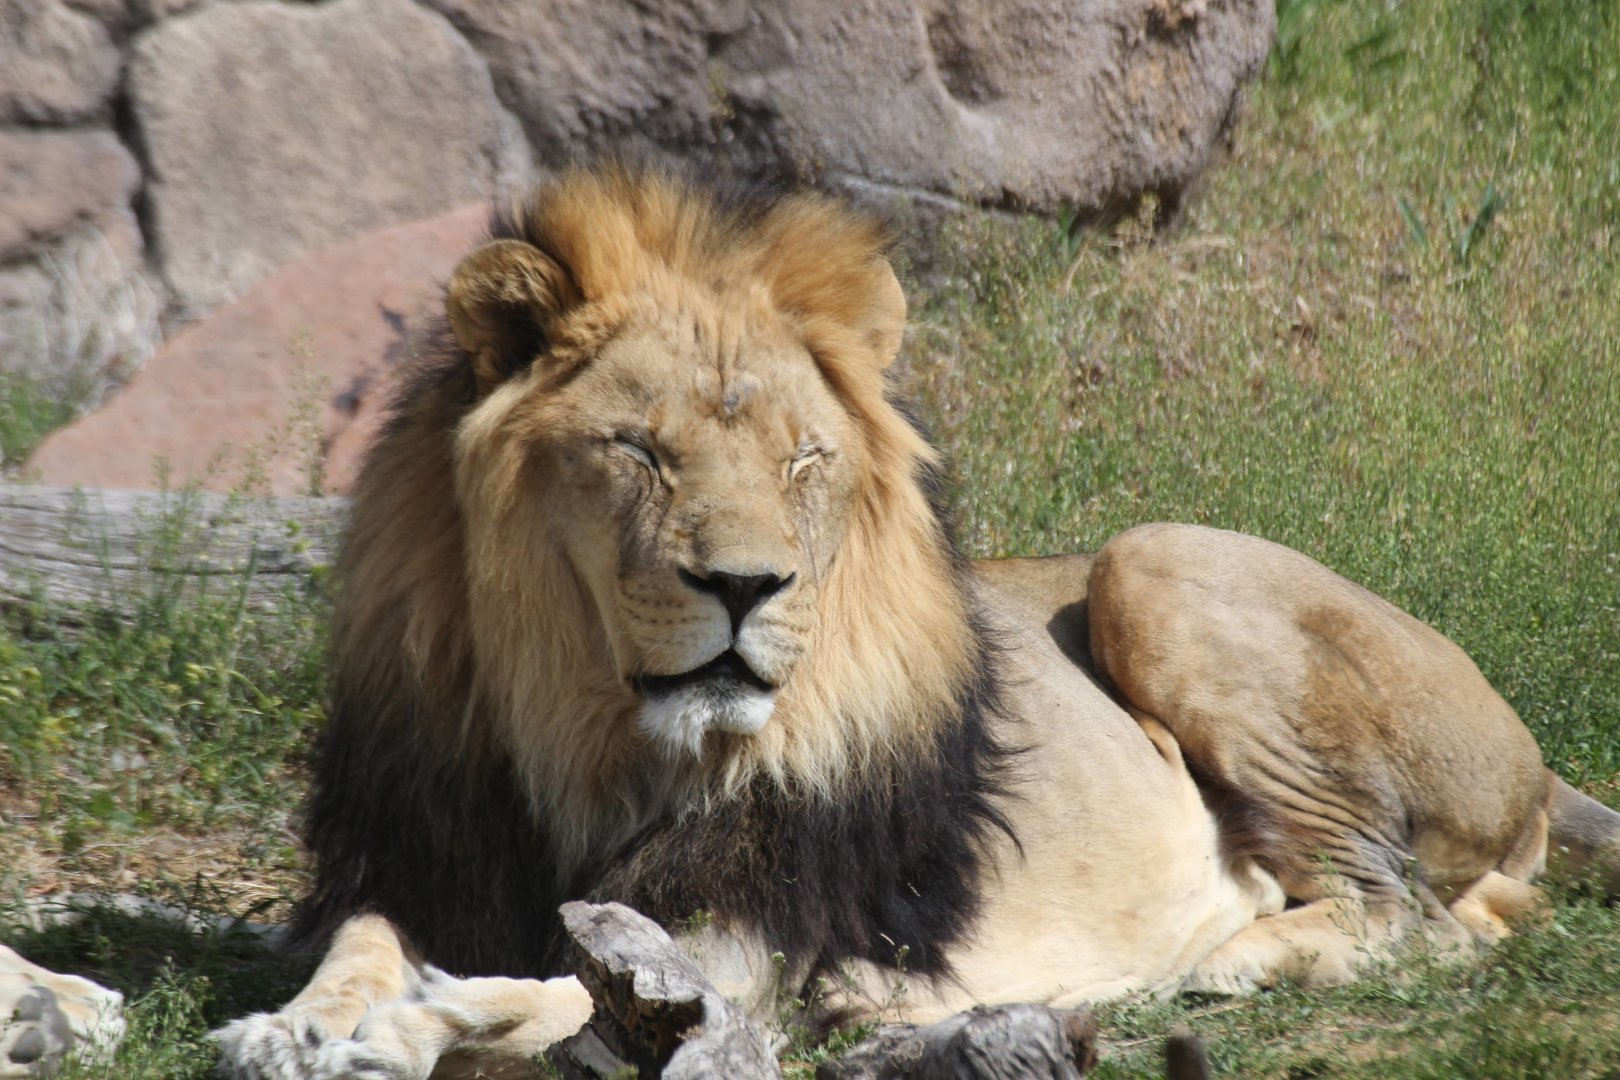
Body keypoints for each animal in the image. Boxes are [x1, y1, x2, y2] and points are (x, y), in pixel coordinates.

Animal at [193, 166, 1620, 1079]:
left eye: (804, 460)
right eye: (640, 451)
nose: (748, 588)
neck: (585, 734)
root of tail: (1540, 764)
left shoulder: (755, 946)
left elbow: (554, 998)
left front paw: (401, 1029)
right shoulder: (424, 854)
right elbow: (365, 945)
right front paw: (300, 1024)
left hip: (1151, 558)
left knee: (1423, 914)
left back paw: (1232, 960)